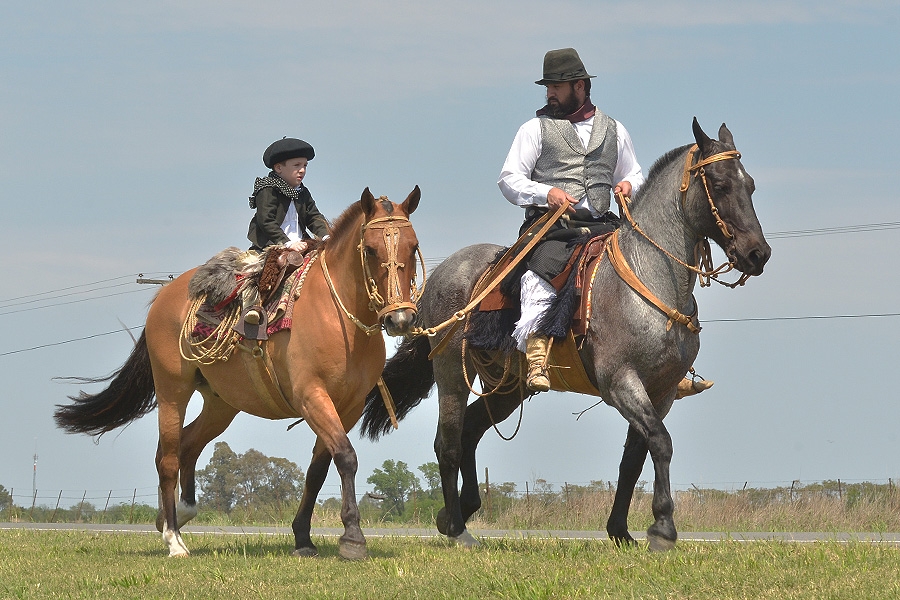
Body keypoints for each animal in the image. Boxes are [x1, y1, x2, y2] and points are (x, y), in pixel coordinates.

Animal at [55, 188, 422, 556]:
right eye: (370, 249)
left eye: (413, 246)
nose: (400, 318)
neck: (338, 316)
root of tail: (163, 296)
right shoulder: (312, 397)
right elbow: (345, 457)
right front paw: (352, 539)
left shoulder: (349, 406)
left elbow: (318, 469)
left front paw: (303, 538)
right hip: (173, 390)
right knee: (168, 457)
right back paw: (174, 539)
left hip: (221, 403)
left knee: (188, 445)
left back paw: (176, 516)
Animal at [362, 119, 768, 552]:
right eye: (720, 184)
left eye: (750, 185)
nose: (758, 254)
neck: (650, 277)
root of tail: (442, 274)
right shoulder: (621, 382)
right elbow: (661, 443)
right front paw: (662, 528)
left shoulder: (661, 392)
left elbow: (635, 457)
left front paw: (621, 531)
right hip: (452, 373)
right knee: (449, 442)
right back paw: (457, 527)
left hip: (507, 388)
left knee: (470, 431)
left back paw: (459, 512)